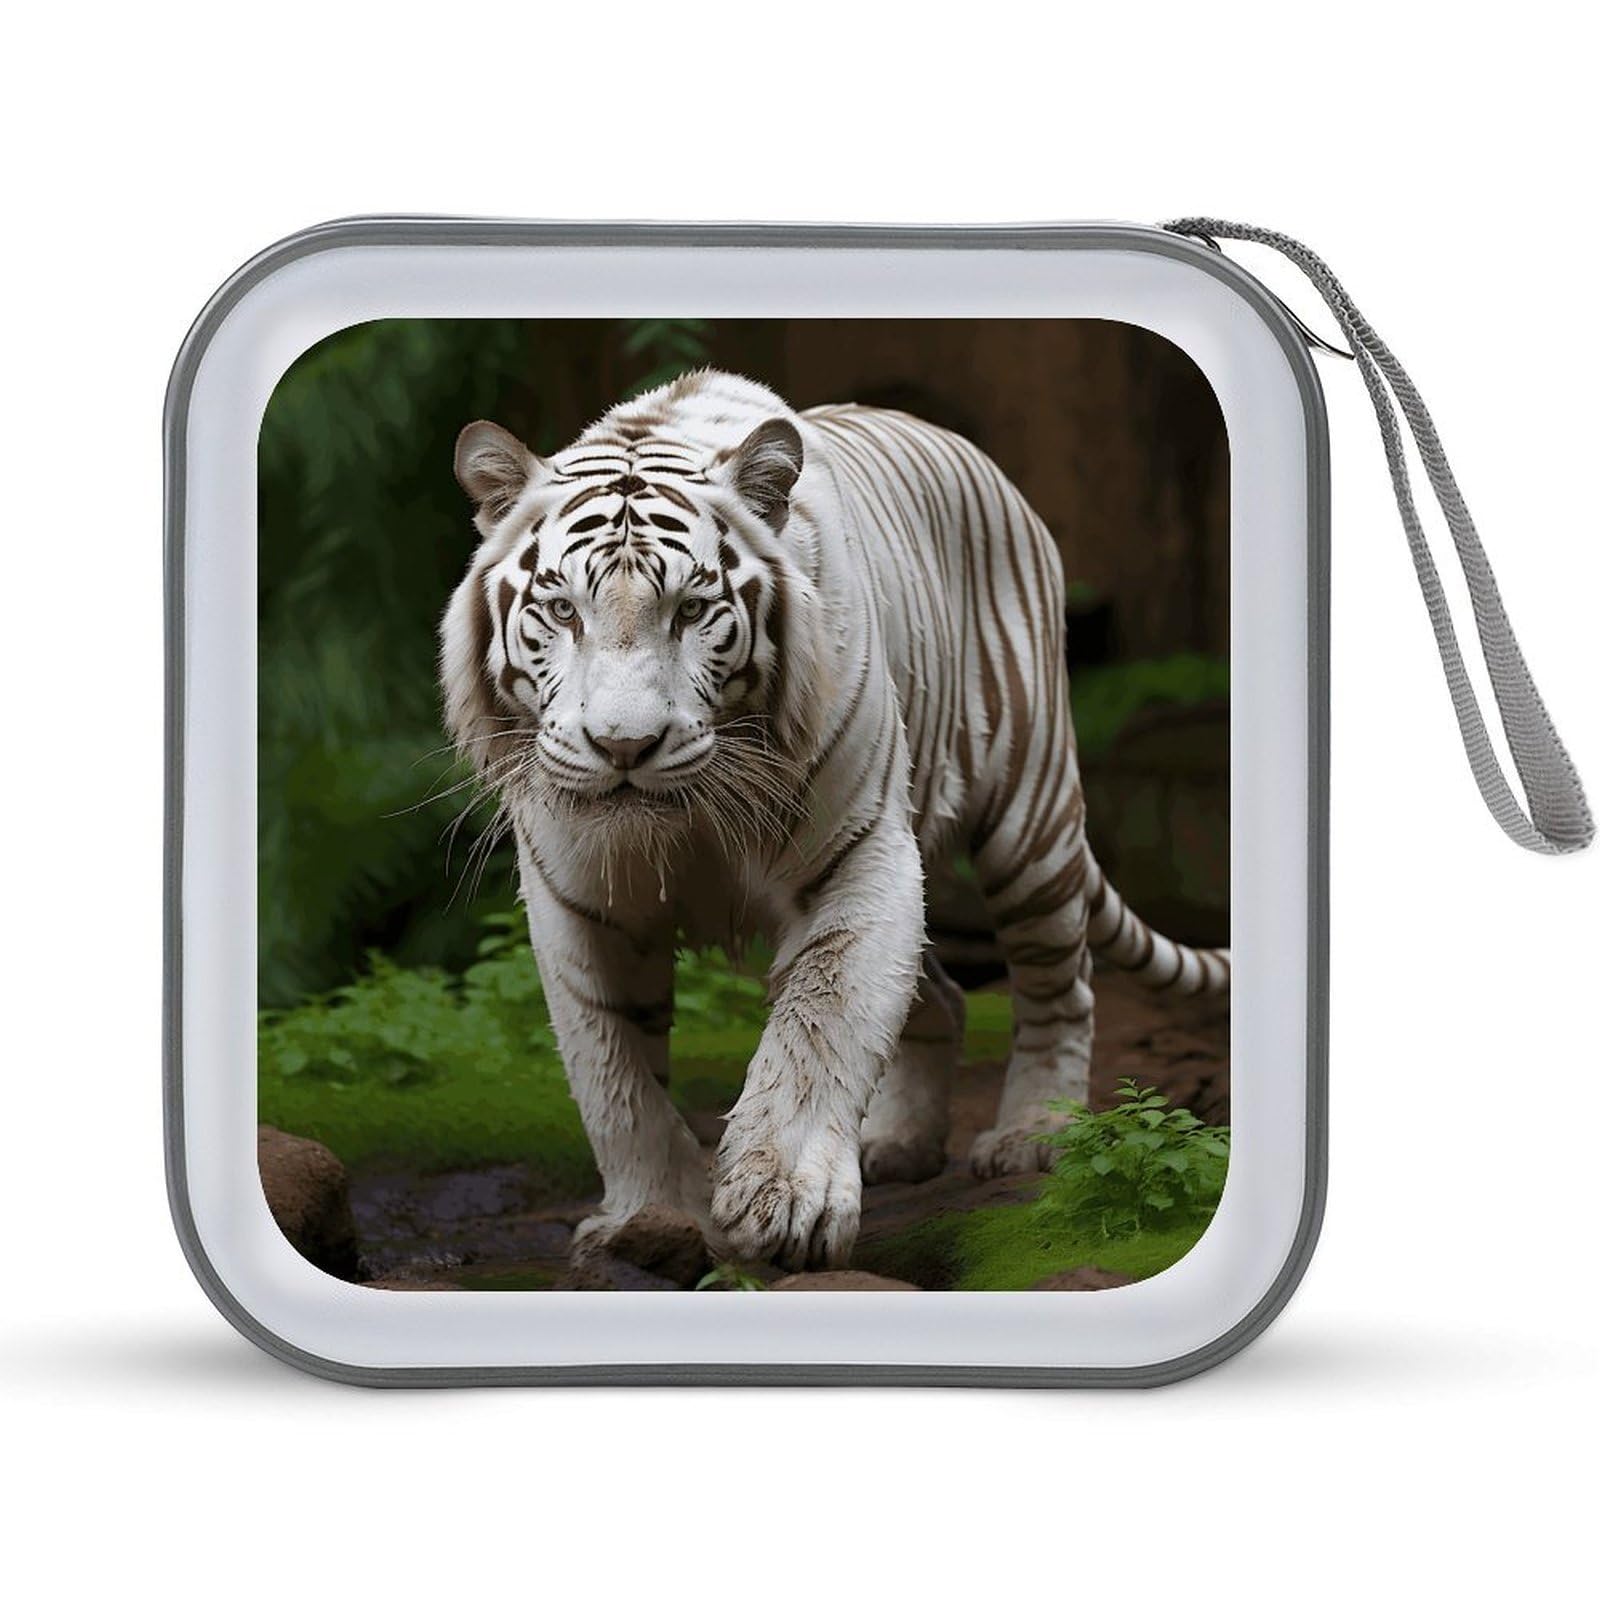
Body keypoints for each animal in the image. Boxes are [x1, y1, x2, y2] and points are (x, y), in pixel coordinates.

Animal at [440, 369, 1229, 1274]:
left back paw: (1034, 1134)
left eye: (691, 610)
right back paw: (897, 1143)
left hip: (1029, 814)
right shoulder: (578, 902)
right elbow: (613, 1075)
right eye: (563, 610)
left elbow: (823, 1021)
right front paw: (652, 1218)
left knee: (1059, 985)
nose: (624, 745)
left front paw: (787, 1202)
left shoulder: (860, 853)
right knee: (943, 996)